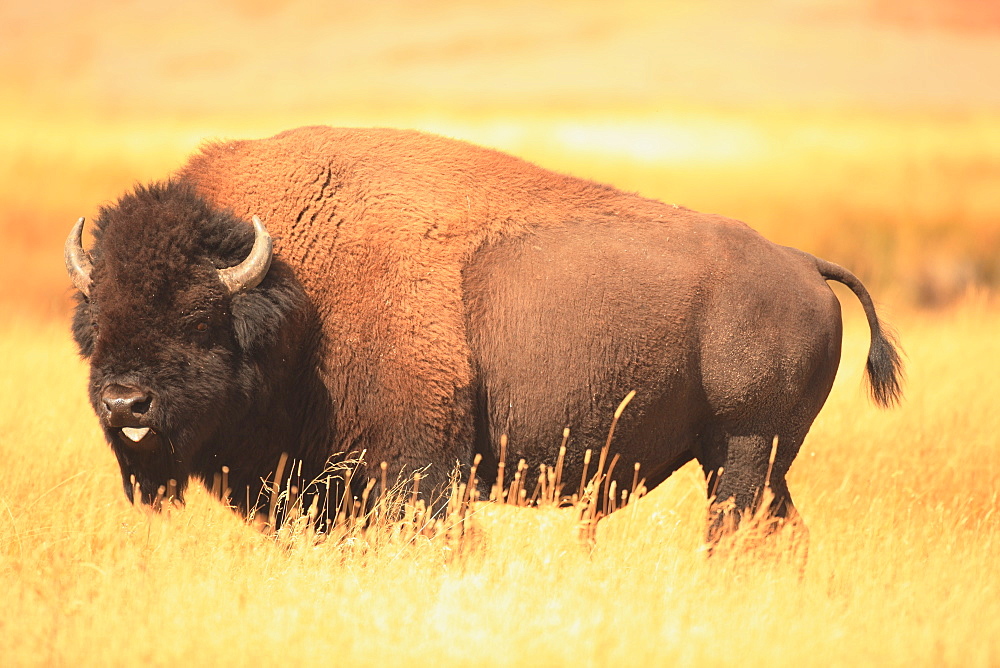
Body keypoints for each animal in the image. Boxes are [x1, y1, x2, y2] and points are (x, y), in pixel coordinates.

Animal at [66, 125, 904, 544]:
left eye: (198, 318)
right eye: (96, 325)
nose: (125, 404)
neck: (294, 293)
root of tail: (803, 263)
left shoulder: (419, 470)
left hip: (745, 449)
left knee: (737, 532)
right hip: (750, 459)